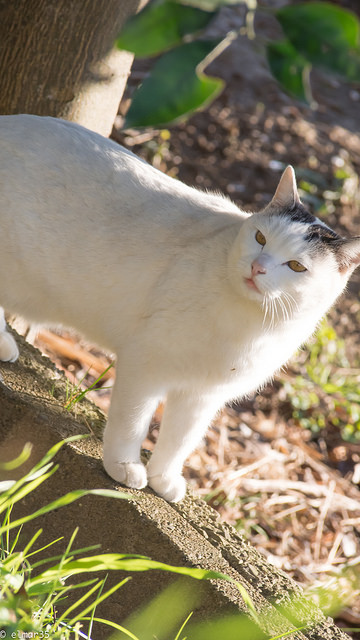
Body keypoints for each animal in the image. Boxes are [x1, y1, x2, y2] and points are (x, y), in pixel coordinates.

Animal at [0, 117, 360, 502]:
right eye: (261, 238)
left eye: (295, 266)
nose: (257, 267)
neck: (249, 323)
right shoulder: (145, 365)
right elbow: (133, 422)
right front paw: (124, 466)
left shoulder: (202, 396)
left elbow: (181, 440)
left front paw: (164, 479)